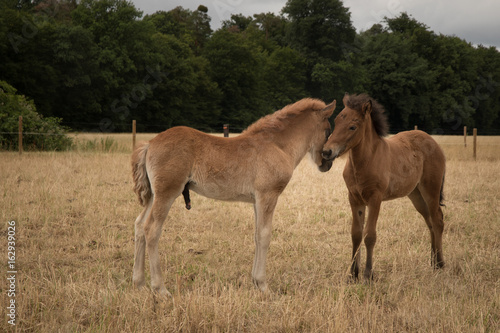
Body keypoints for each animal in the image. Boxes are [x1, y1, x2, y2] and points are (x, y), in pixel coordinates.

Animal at [324, 93, 446, 280]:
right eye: (337, 121)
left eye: (352, 127)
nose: (327, 151)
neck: (365, 161)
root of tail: (433, 141)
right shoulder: (354, 198)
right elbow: (356, 234)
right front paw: (353, 274)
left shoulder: (375, 198)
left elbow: (369, 235)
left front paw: (368, 274)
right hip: (416, 195)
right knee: (430, 222)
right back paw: (432, 263)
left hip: (430, 190)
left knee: (438, 221)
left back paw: (440, 264)